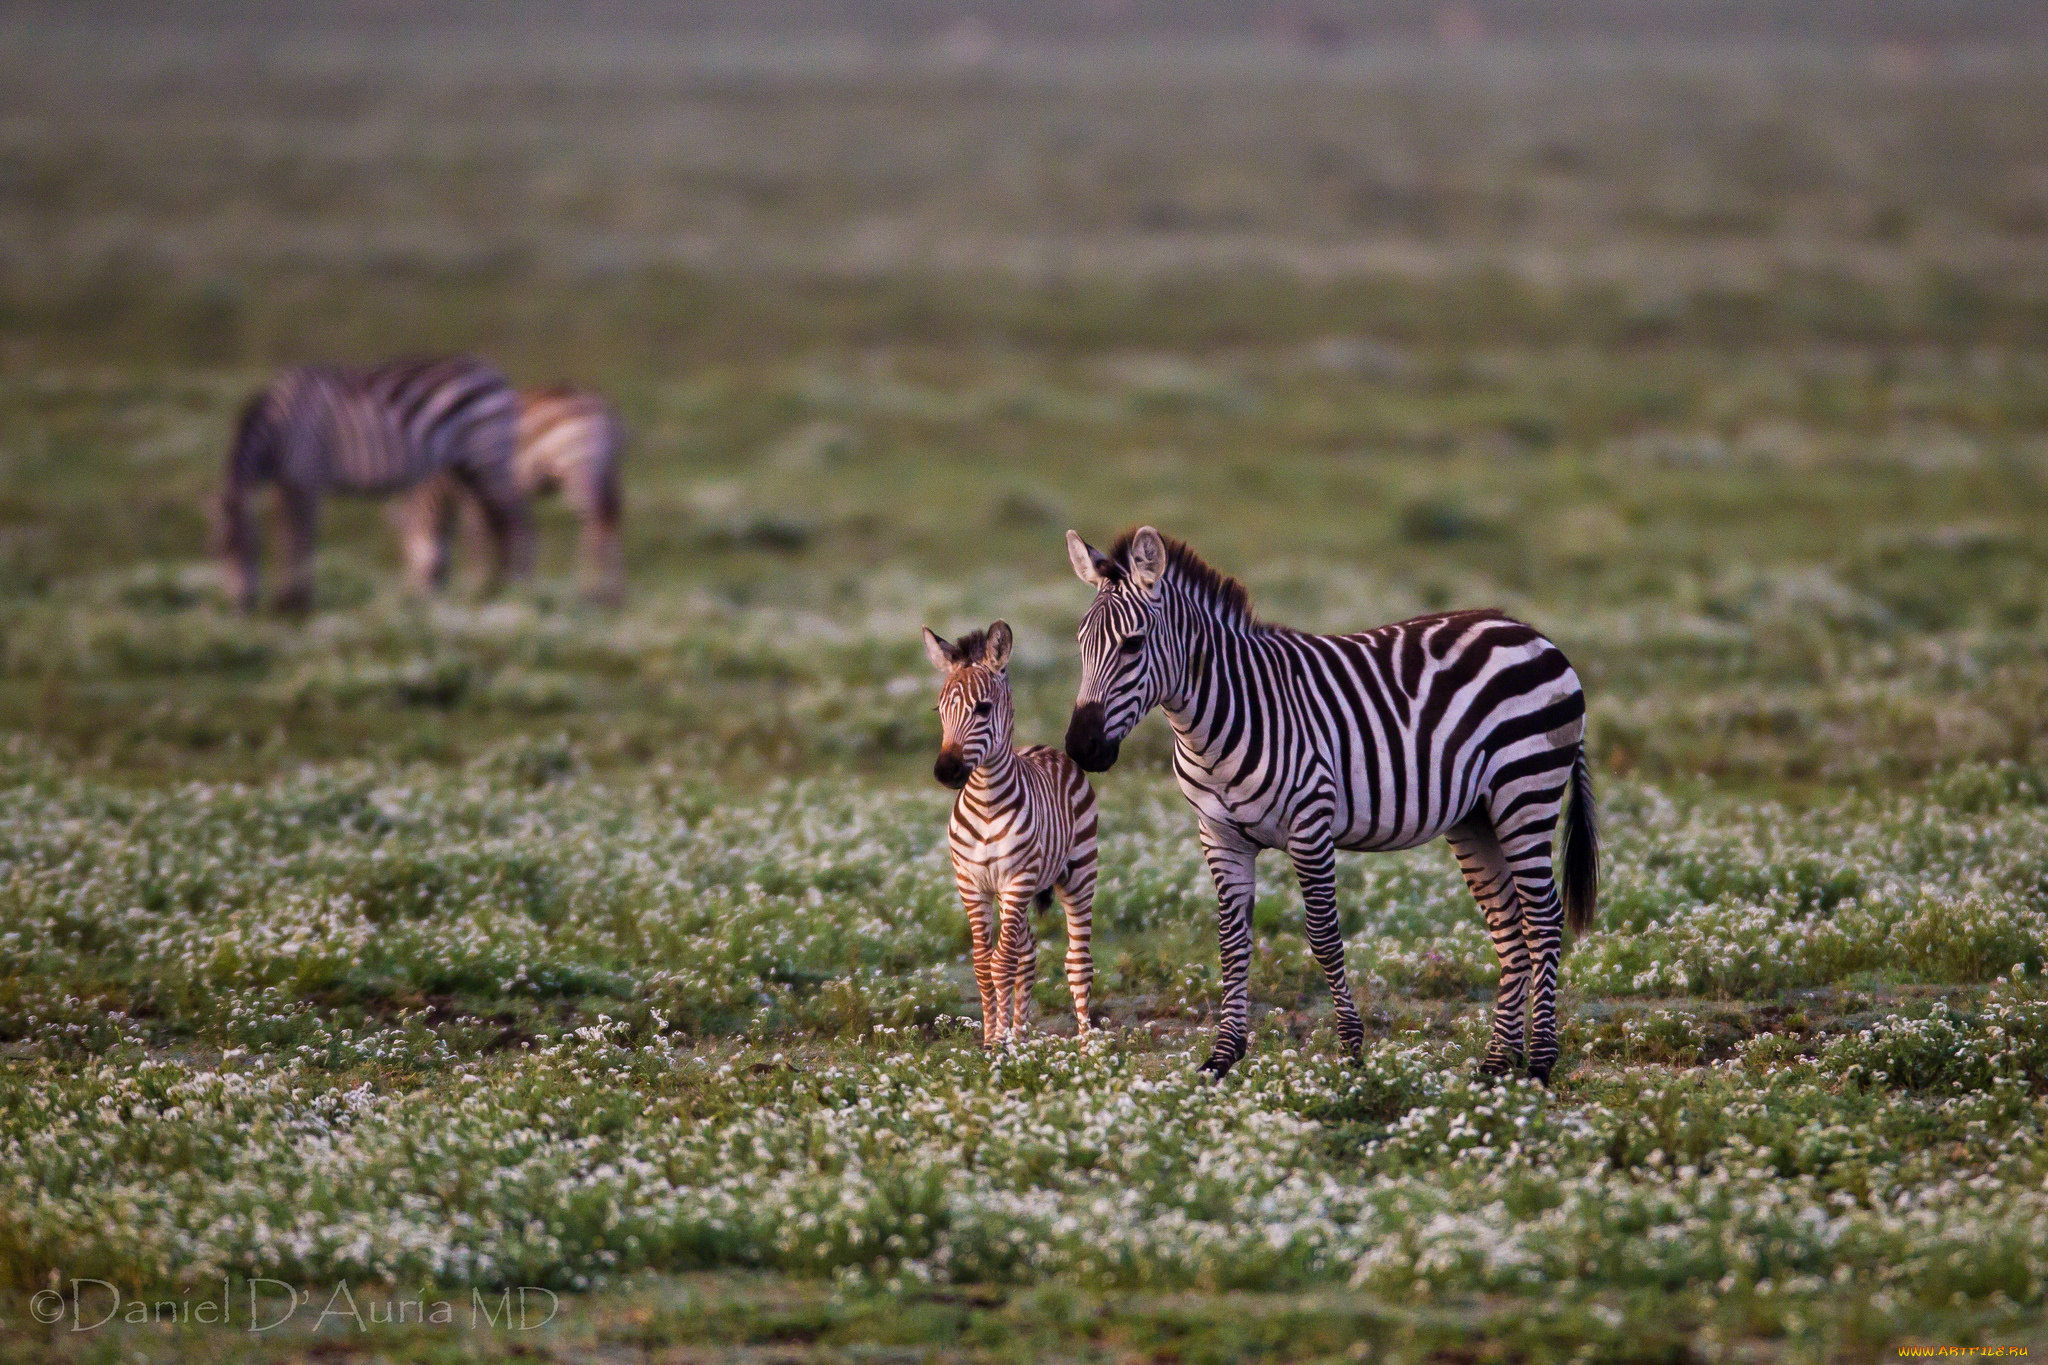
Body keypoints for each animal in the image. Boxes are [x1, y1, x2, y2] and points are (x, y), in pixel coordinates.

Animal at [220, 356, 532, 609]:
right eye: (219, 550)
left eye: (243, 547)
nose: (241, 607)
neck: (279, 431)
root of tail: (492, 372)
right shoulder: (285, 483)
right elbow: (285, 535)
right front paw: (287, 600)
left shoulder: (306, 475)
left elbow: (299, 537)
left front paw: (296, 601)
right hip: (468, 467)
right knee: (495, 523)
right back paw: (493, 587)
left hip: (488, 454)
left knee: (517, 523)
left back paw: (515, 587)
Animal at [391, 382, 622, 601]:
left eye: (407, 561)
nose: (415, 599)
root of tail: (598, 405)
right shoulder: (497, 497)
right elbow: (507, 536)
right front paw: (506, 585)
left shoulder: (473, 495)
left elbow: (478, 537)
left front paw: (479, 585)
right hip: (608, 474)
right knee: (611, 521)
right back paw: (615, 595)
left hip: (578, 474)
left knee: (595, 522)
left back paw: (589, 590)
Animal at [921, 622, 1097, 1047]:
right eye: (939, 710)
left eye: (983, 708)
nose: (945, 772)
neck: (986, 800)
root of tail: (1048, 748)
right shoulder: (972, 884)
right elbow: (984, 964)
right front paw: (992, 1041)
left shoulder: (1018, 879)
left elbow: (1001, 963)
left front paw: (999, 1042)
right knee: (1027, 952)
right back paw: (1020, 1036)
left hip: (1079, 873)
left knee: (1077, 961)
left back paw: (1088, 1047)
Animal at [1064, 527, 1589, 1080]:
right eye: (1080, 644)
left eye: (1133, 644)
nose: (1081, 748)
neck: (1215, 720)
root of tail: (1529, 631)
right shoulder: (1219, 835)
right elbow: (1231, 941)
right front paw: (1223, 1055)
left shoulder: (1310, 824)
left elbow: (1322, 935)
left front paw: (1351, 1048)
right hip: (1477, 817)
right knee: (1509, 924)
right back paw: (1496, 1062)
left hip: (1525, 793)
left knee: (1543, 918)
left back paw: (1540, 1062)